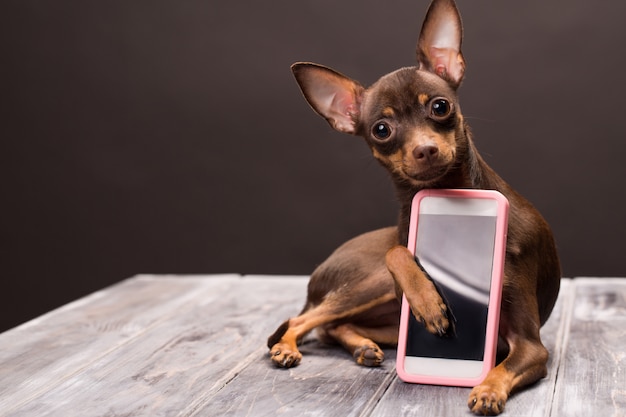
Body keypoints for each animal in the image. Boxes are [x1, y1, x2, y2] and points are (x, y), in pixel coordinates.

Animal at [266, 0, 560, 412]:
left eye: (440, 106)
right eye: (381, 130)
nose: (426, 149)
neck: (449, 196)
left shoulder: (531, 346)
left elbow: (502, 366)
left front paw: (487, 389)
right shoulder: (399, 262)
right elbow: (397, 251)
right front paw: (429, 302)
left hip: (389, 320)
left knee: (330, 326)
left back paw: (362, 347)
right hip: (372, 284)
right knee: (304, 320)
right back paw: (290, 348)